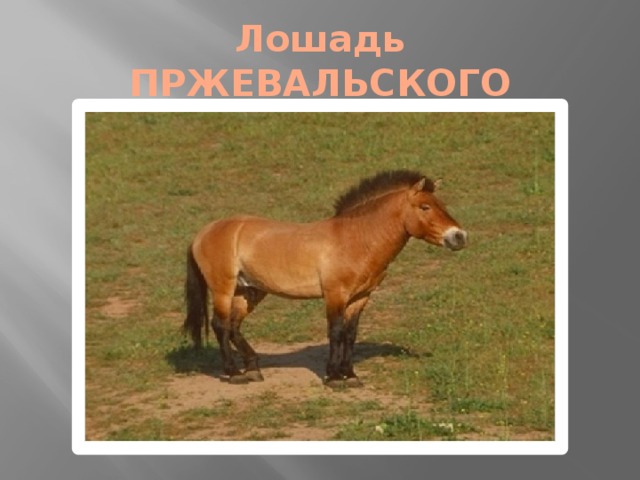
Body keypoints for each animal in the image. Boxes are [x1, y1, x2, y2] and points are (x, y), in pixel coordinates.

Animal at [182, 169, 467, 388]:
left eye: (442, 205)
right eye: (425, 207)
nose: (459, 236)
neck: (356, 239)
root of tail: (204, 232)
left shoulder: (361, 297)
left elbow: (350, 334)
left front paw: (350, 374)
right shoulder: (335, 294)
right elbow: (336, 331)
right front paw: (333, 377)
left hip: (249, 291)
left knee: (233, 326)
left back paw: (252, 369)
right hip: (224, 288)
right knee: (220, 325)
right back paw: (233, 373)